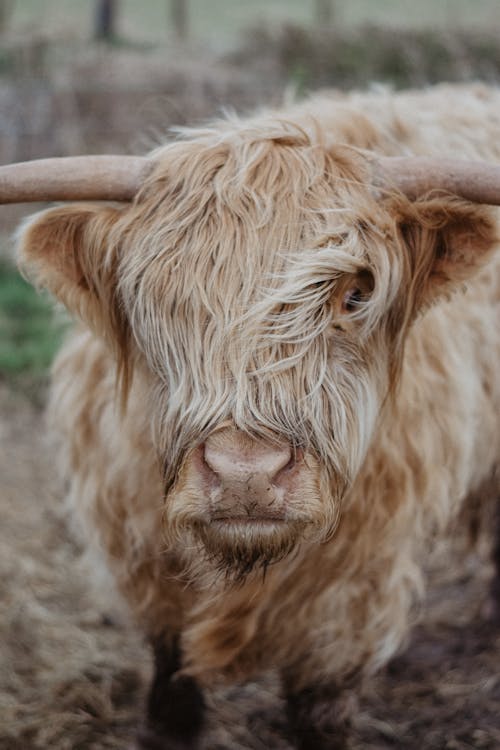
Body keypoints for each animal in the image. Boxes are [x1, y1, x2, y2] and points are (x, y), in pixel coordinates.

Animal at [1, 85, 498, 748]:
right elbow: (172, 693)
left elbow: (319, 713)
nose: (246, 475)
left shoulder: (353, 597)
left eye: (356, 294)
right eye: (152, 298)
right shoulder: (144, 569)